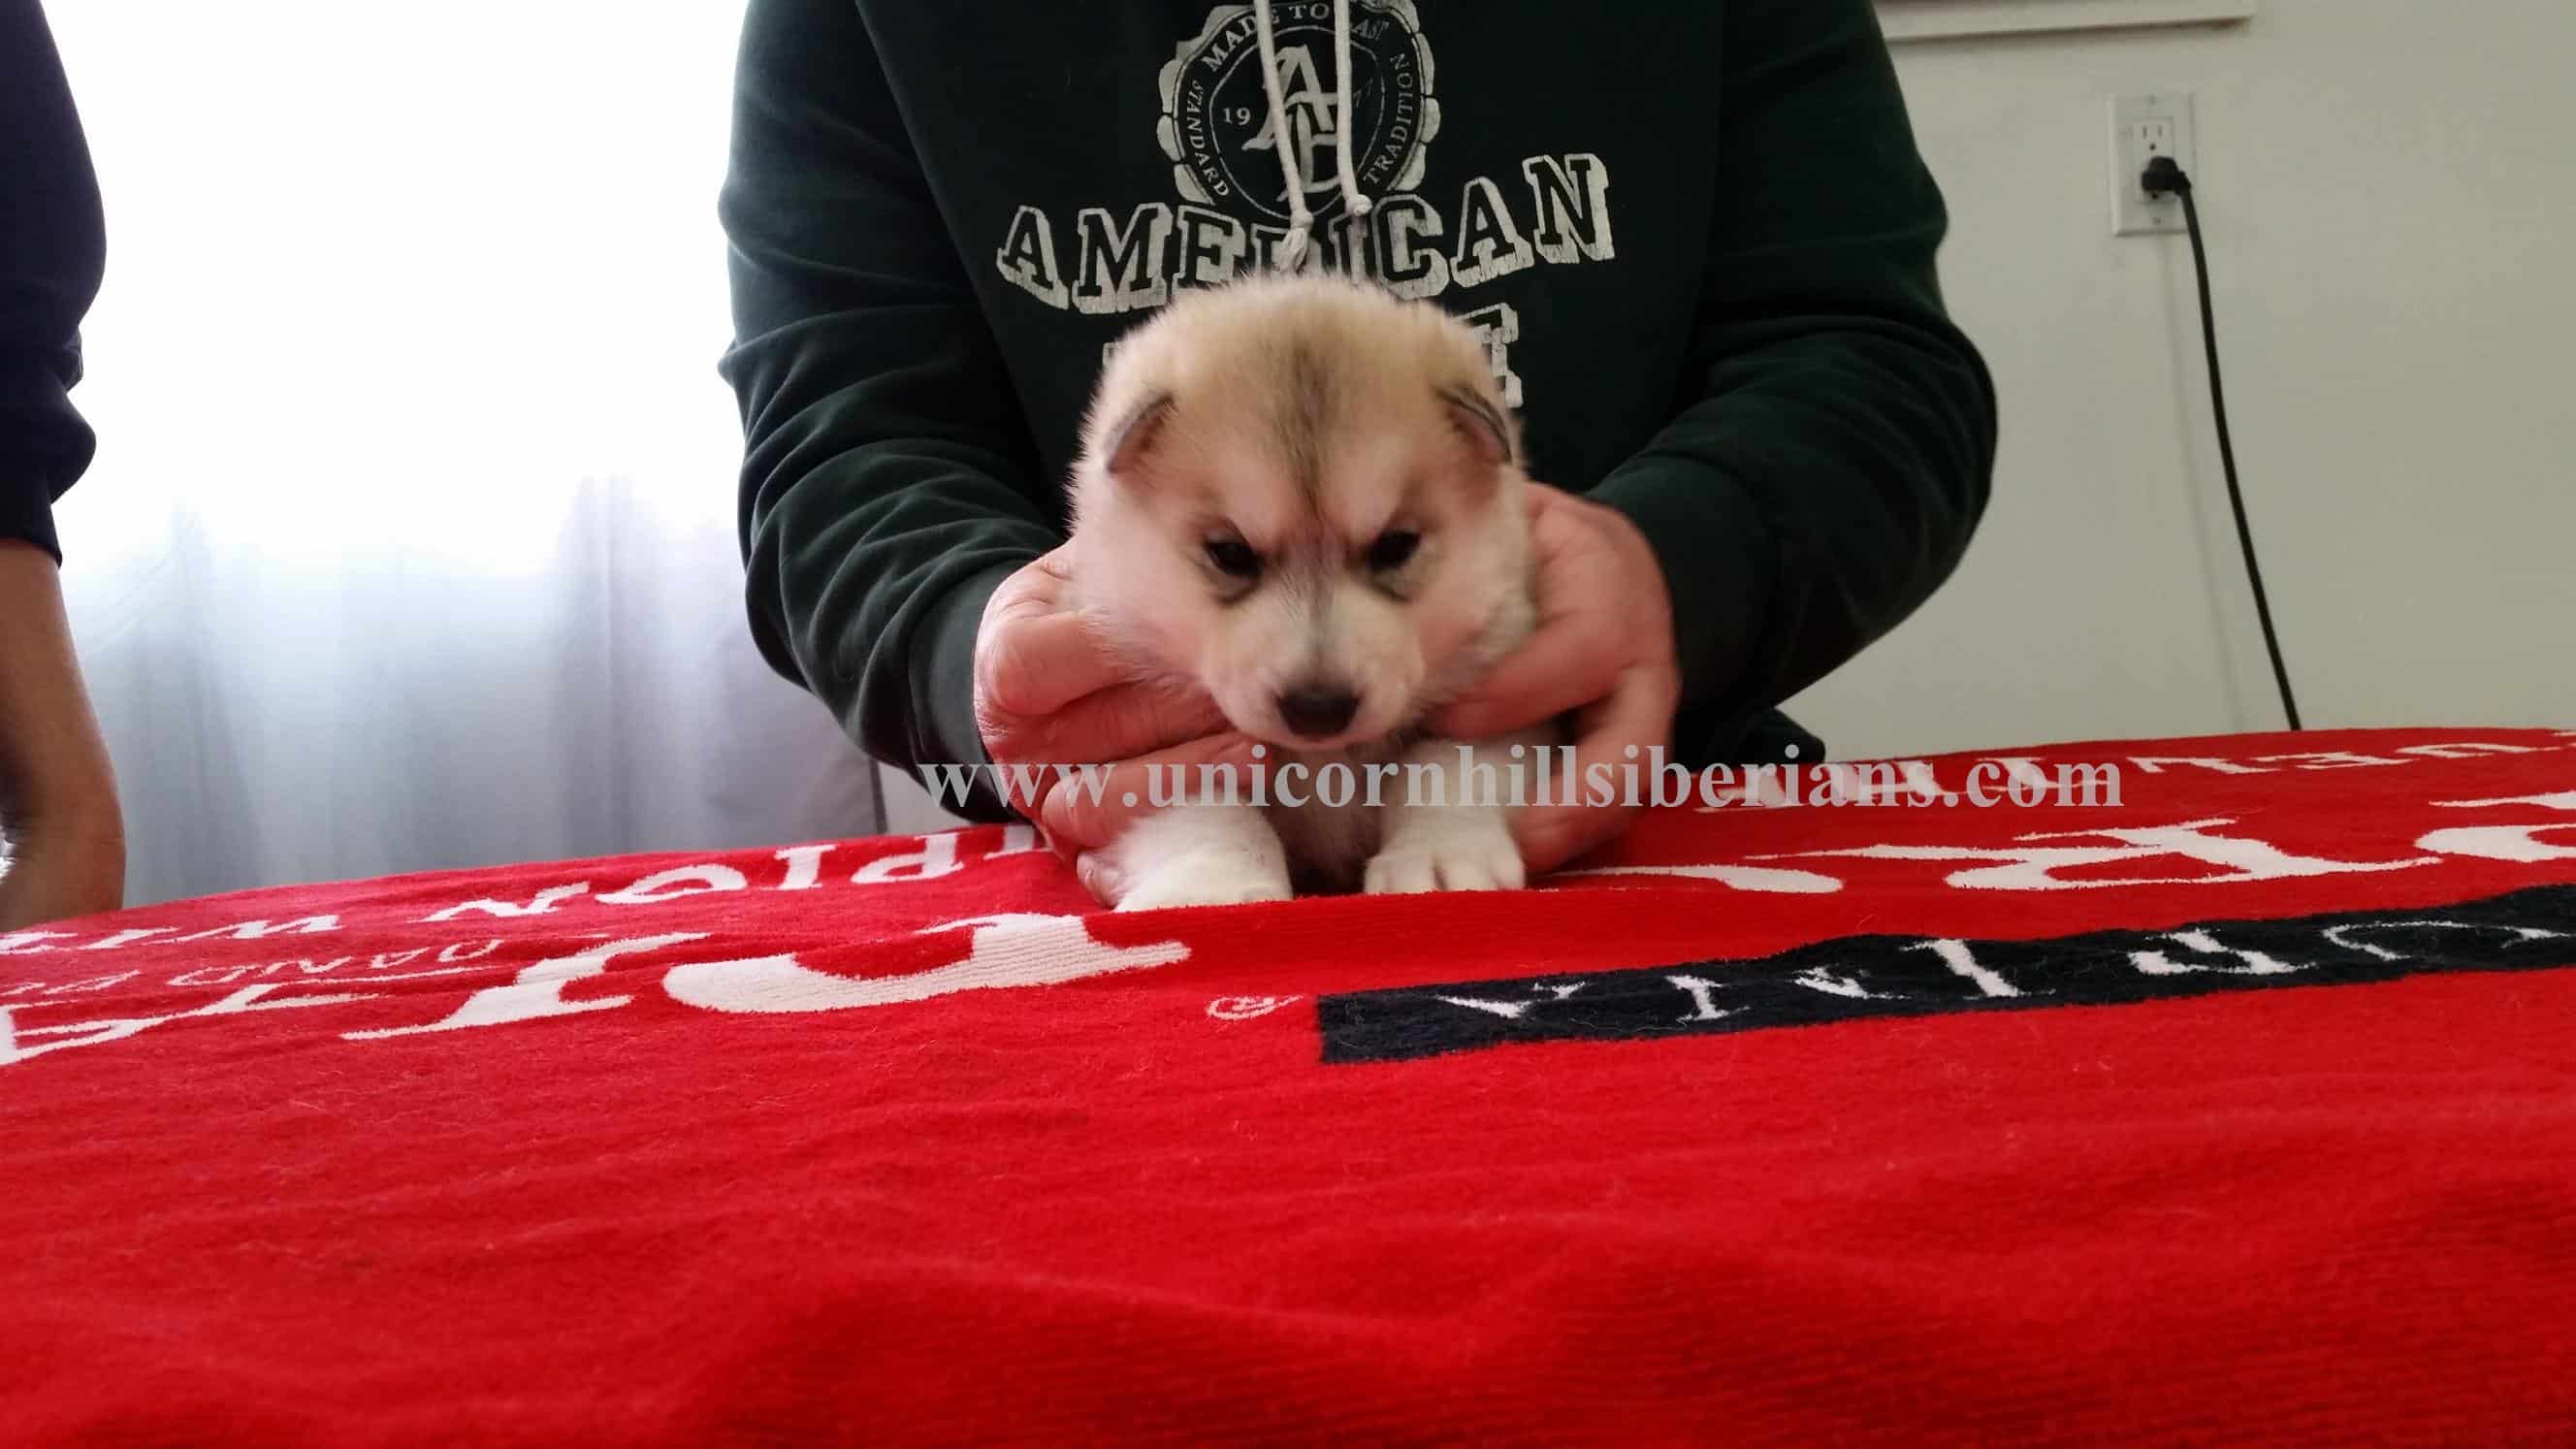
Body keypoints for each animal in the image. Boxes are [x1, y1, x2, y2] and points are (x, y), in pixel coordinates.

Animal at [1065, 272, 1556, 911]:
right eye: (1231, 553)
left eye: (1396, 545)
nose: (1318, 708)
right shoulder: (1145, 744)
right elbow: (1204, 806)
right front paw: (1214, 885)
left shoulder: (1501, 691)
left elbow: (1445, 764)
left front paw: (1440, 853)